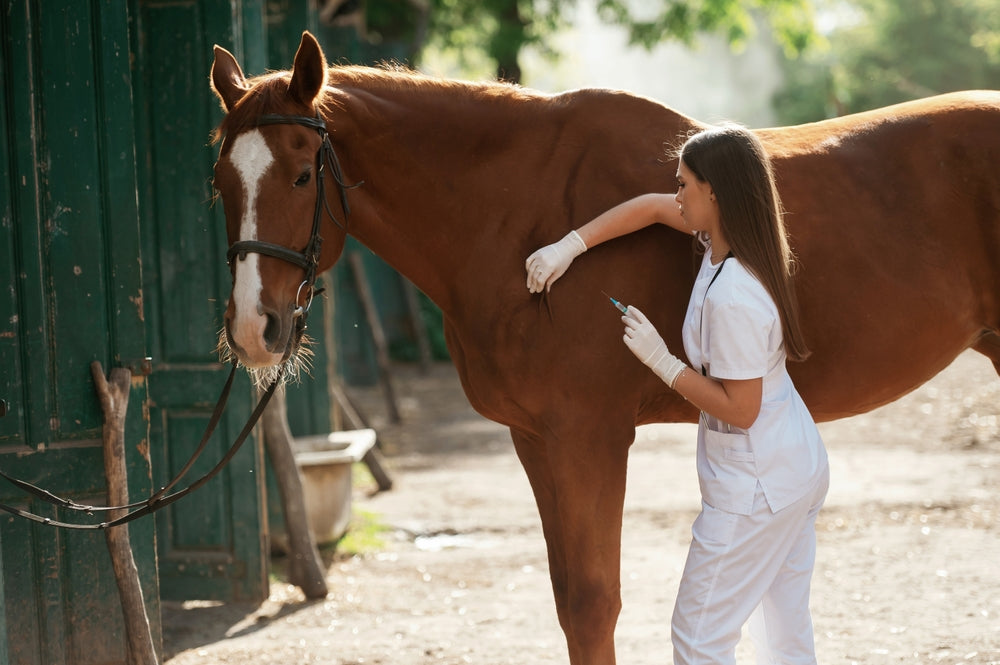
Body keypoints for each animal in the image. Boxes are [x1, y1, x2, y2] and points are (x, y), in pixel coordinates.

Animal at [209, 31, 1000, 665]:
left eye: (302, 174)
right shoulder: (536, 438)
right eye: (220, 182)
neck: (515, 209)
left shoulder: (588, 437)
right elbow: (569, 600)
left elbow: (594, 603)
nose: (254, 328)